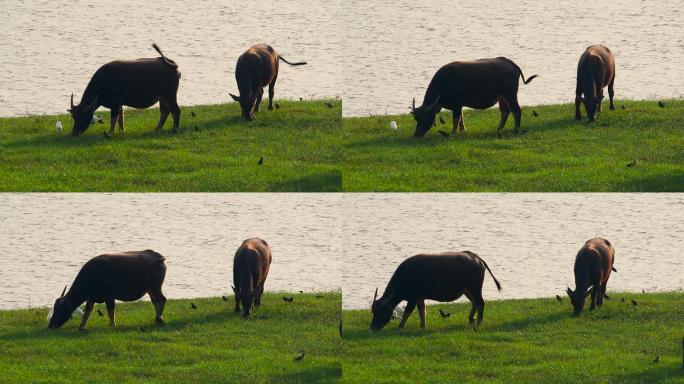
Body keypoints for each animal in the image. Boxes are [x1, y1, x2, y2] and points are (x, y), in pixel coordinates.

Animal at [368, 252, 502, 330]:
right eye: (373, 312)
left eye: (380, 311)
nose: (372, 328)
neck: (406, 277)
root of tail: (477, 258)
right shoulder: (420, 298)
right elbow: (422, 311)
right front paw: (422, 325)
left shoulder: (413, 298)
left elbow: (407, 312)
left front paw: (400, 326)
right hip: (467, 290)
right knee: (474, 302)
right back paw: (470, 319)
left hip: (475, 288)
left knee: (480, 303)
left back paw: (479, 323)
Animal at [408, 57, 536, 139]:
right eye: (416, 118)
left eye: (425, 117)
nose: (416, 135)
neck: (444, 85)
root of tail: (511, 64)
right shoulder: (459, 106)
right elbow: (461, 118)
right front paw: (462, 130)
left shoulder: (457, 105)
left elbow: (456, 119)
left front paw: (453, 133)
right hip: (502, 98)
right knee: (505, 112)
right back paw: (499, 130)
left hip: (510, 95)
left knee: (516, 110)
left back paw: (517, 130)